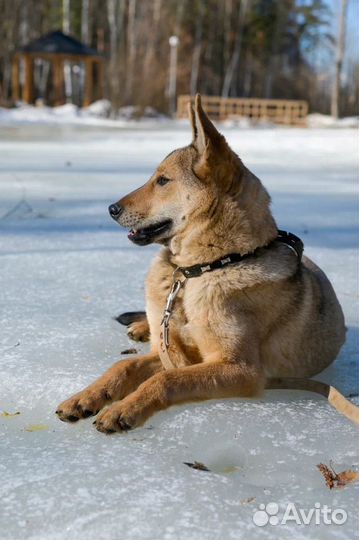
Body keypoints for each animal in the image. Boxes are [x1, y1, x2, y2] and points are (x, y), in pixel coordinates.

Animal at [55, 93, 358, 430]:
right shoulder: (170, 351)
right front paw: (85, 397)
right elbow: (123, 366)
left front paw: (125, 408)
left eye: (163, 181)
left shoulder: (240, 369)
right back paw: (139, 326)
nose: (111, 208)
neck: (203, 269)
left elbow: (166, 380)